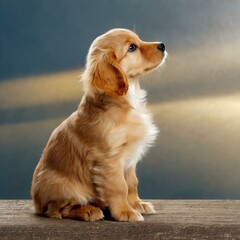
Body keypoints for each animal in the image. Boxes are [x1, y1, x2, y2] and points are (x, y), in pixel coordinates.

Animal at [31, 28, 167, 221]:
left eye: (139, 40)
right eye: (132, 48)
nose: (162, 45)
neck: (129, 99)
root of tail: (36, 204)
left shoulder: (130, 158)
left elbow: (132, 183)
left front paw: (136, 204)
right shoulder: (109, 159)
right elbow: (120, 187)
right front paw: (125, 212)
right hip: (63, 186)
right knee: (58, 209)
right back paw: (88, 210)